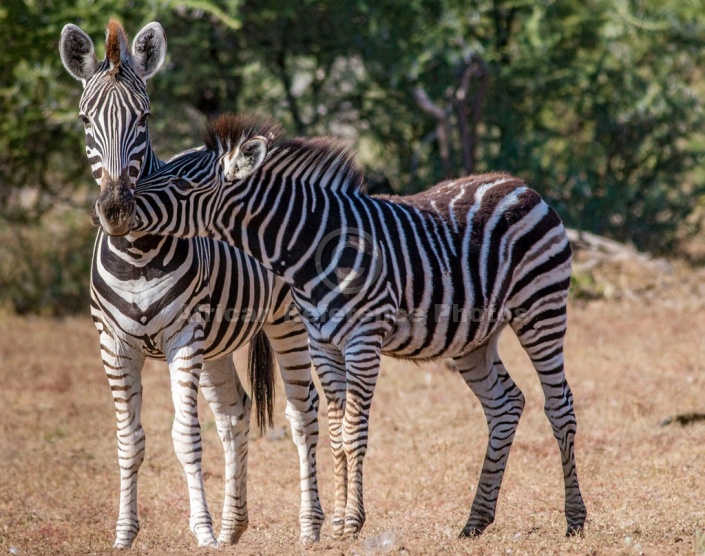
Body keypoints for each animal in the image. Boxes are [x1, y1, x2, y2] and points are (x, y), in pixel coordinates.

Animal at [60, 22, 324, 552]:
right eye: (84, 119)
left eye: (144, 118)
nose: (116, 210)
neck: (137, 255)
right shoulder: (113, 343)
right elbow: (129, 440)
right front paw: (125, 533)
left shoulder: (183, 336)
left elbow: (185, 437)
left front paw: (200, 530)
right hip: (216, 342)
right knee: (236, 413)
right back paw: (233, 525)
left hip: (287, 321)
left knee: (302, 413)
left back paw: (309, 526)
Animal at [95, 114, 588, 544]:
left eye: (183, 185)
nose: (112, 209)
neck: (308, 250)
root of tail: (519, 185)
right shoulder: (322, 344)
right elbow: (334, 435)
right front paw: (335, 522)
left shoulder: (363, 341)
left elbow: (354, 433)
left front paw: (352, 521)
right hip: (473, 339)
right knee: (505, 404)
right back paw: (475, 521)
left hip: (541, 310)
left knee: (559, 406)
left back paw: (574, 519)